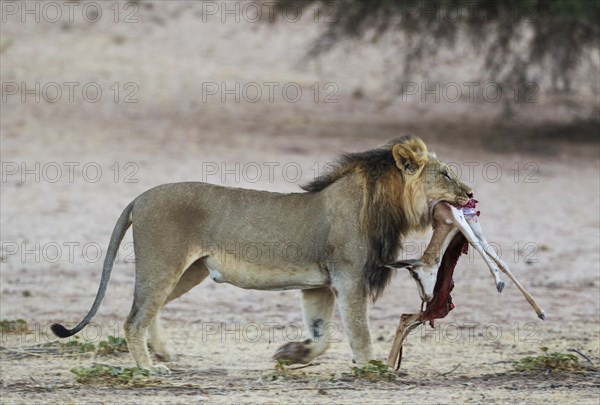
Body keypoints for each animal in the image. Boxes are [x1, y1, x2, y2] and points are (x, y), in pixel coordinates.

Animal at [50, 135, 474, 372]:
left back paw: (163, 354)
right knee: (133, 318)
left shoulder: (320, 285)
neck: (386, 205)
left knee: (148, 311)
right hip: (164, 264)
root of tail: (139, 197)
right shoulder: (349, 277)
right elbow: (359, 331)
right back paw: (149, 369)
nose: (471, 193)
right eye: (445, 174)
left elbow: (321, 335)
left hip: (189, 271)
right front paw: (371, 368)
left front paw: (291, 355)